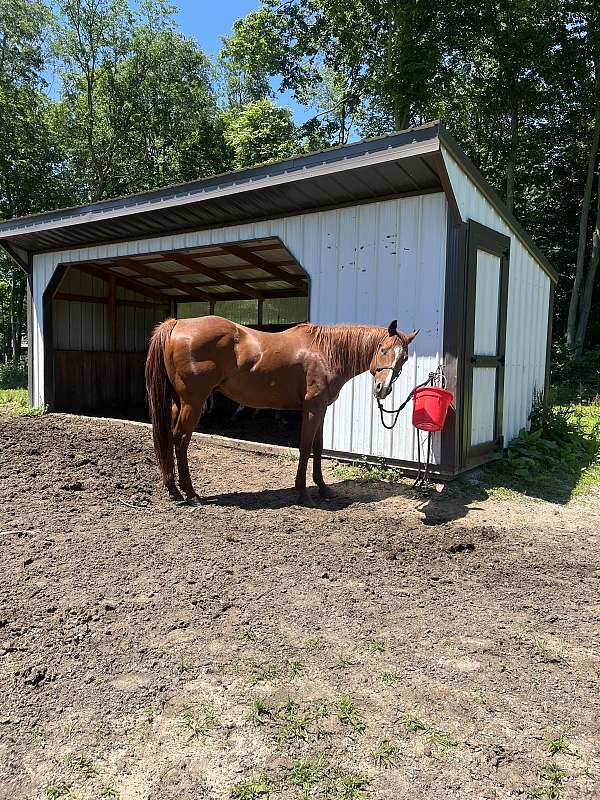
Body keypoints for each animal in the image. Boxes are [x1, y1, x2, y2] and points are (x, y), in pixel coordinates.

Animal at [145, 316, 418, 506]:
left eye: (404, 358)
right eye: (383, 349)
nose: (382, 389)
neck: (326, 351)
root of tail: (177, 324)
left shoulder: (321, 410)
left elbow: (318, 448)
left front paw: (323, 488)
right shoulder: (312, 409)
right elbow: (306, 447)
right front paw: (303, 493)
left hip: (179, 402)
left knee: (171, 438)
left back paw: (174, 489)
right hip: (193, 402)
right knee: (181, 439)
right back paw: (191, 494)